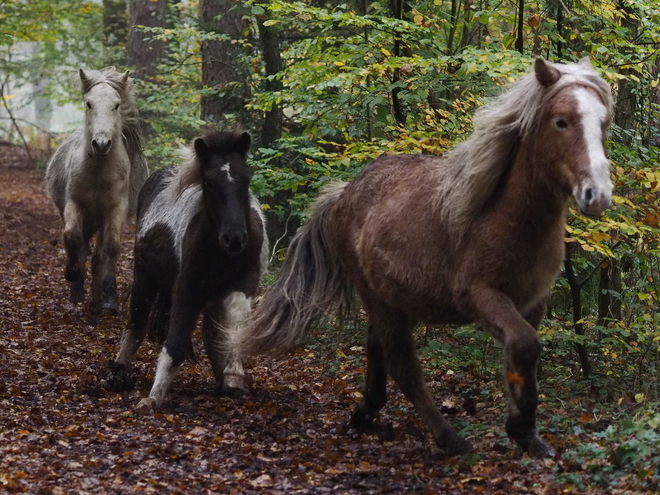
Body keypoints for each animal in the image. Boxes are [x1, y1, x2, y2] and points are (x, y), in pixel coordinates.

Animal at [105, 129, 268, 410]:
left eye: (246, 179)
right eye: (210, 183)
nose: (235, 239)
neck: (219, 251)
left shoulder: (243, 283)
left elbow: (231, 326)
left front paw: (234, 377)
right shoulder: (188, 288)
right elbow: (176, 341)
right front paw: (154, 397)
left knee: (211, 333)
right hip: (145, 279)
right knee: (136, 324)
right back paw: (119, 374)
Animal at [236, 57, 612, 458]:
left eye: (603, 122)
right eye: (561, 121)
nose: (598, 194)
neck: (505, 216)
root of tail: (344, 193)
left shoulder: (533, 301)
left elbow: (522, 355)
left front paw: (527, 434)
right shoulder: (480, 296)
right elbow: (525, 346)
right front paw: (520, 429)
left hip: (390, 299)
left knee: (378, 349)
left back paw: (365, 414)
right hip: (379, 299)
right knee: (403, 367)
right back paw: (448, 438)